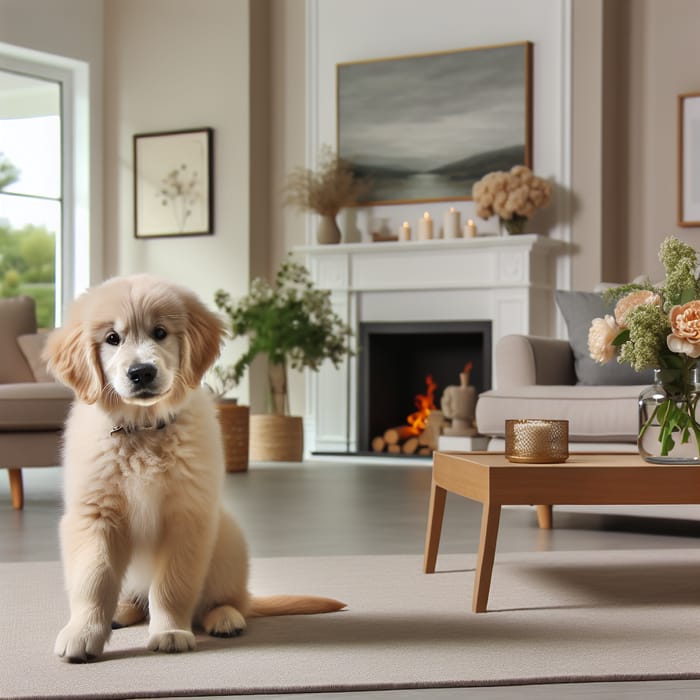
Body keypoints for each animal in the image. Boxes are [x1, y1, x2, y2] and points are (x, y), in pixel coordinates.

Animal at [43, 274, 344, 660]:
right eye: (112, 338)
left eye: (160, 332)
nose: (141, 372)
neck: (144, 429)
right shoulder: (94, 514)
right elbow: (93, 581)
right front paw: (83, 633)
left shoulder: (188, 515)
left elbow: (173, 584)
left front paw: (170, 631)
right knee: (136, 600)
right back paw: (122, 611)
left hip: (228, 539)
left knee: (225, 600)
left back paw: (225, 617)